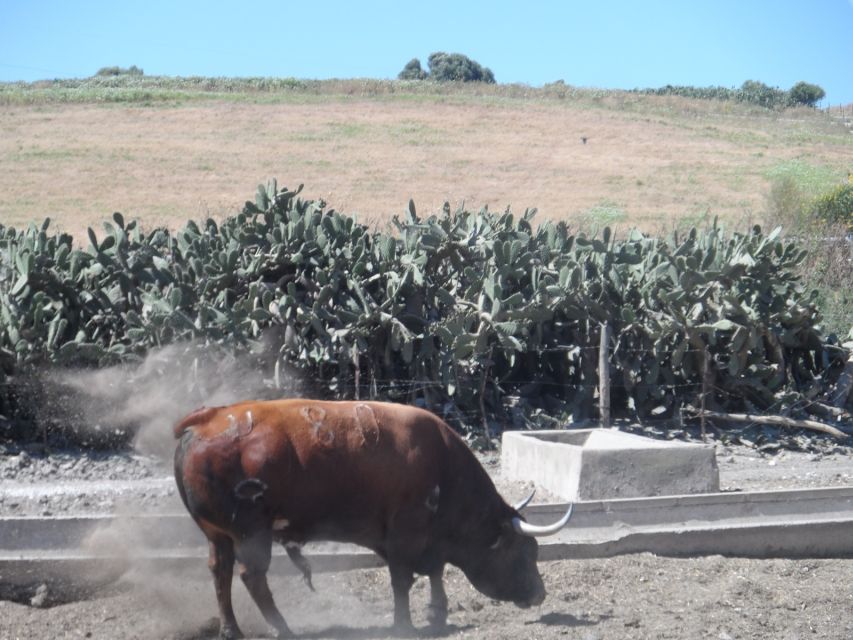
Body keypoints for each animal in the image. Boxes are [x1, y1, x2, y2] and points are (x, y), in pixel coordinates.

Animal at [173, 398, 572, 636]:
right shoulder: (405, 534)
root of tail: (208, 418)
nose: (540, 594)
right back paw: (283, 629)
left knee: (220, 572)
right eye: (523, 552)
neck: (442, 464)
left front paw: (437, 614)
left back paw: (231, 629)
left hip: (218, 535)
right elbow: (402, 579)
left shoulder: (423, 539)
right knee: (251, 576)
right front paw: (405, 624)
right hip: (251, 532)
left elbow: (435, 570)